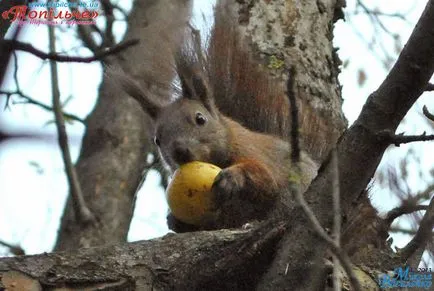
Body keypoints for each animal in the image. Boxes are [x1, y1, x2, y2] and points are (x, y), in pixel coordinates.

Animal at [112, 2, 326, 233]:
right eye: (157, 140)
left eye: (200, 119)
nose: (180, 151)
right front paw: (174, 220)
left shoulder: (255, 152)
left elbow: (267, 177)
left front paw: (233, 177)